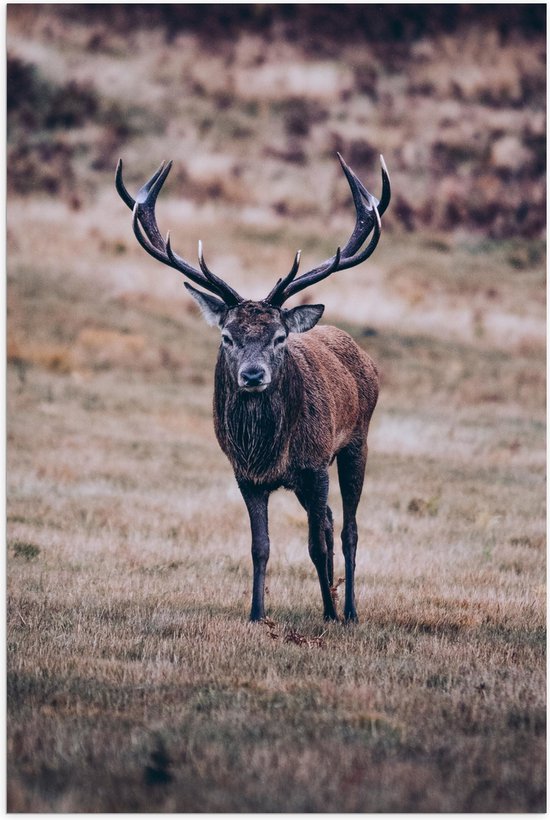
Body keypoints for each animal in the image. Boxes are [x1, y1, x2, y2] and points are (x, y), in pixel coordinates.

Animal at [116, 155, 392, 620]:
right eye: (227, 335)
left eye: (279, 337)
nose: (252, 375)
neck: (268, 450)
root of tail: (363, 356)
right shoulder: (245, 475)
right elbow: (259, 546)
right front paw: (256, 613)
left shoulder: (315, 463)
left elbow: (317, 544)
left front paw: (330, 614)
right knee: (330, 520)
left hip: (357, 441)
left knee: (348, 529)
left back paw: (349, 610)